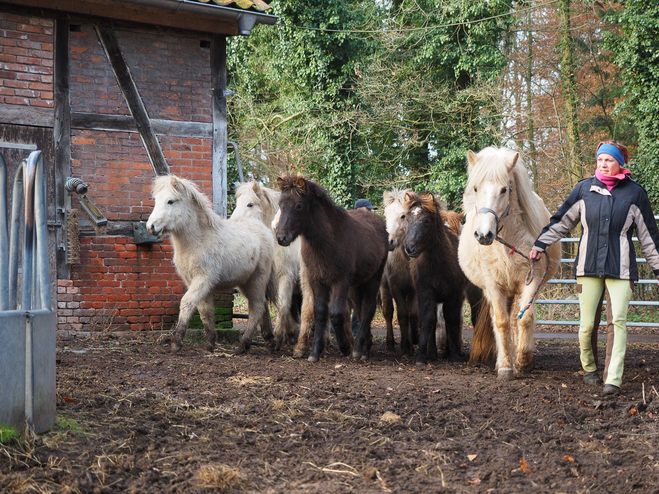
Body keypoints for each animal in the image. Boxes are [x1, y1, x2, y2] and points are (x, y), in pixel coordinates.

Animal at [147, 176, 276, 354]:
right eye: (156, 200)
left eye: (170, 201)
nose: (151, 227)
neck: (199, 240)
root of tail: (263, 229)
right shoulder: (194, 282)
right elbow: (205, 311)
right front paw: (209, 345)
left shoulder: (203, 280)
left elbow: (187, 303)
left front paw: (176, 342)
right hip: (245, 282)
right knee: (262, 306)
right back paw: (269, 342)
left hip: (257, 279)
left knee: (256, 307)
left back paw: (242, 345)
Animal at [231, 182, 302, 352]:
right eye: (237, 203)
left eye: (250, 204)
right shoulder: (266, 280)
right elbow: (270, 305)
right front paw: (274, 336)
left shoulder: (285, 278)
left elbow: (282, 306)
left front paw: (279, 338)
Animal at [276, 174, 390, 362]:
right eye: (280, 204)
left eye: (298, 205)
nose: (281, 237)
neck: (327, 241)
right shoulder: (317, 280)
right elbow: (320, 312)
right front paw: (314, 352)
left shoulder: (340, 282)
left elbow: (336, 314)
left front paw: (345, 347)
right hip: (356, 285)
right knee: (360, 310)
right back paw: (365, 346)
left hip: (373, 279)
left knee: (368, 309)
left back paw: (358, 350)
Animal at [402, 191, 484, 364]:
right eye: (407, 218)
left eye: (426, 220)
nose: (410, 248)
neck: (438, 265)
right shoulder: (426, 292)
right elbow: (428, 320)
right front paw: (422, 355)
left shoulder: (455, 294)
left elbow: (453, 321)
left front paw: (455, 354)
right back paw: (433, 353)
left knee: (473, 317)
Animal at [458, 146, 564, 378]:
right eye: (476, 188)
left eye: (504, 189)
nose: (483, 235)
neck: (507, 245)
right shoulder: (493, 286)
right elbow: (501, 322)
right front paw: (505, 365)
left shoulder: (531, 280)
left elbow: (524, 319)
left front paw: (523, 361)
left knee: (519, 317)